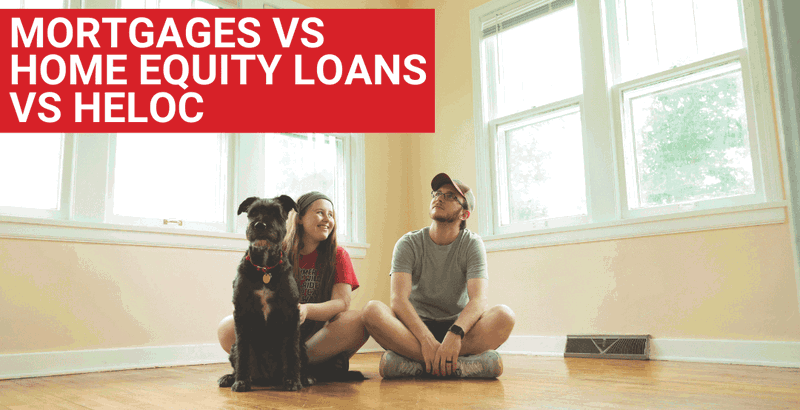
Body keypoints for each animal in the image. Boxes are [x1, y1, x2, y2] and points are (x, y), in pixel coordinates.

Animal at [217, 195, 314, 390]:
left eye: (276, 212)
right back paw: (230, 377)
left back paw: (303, 378)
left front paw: (293, 380)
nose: (260, 225)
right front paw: (241, 381)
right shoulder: (241, 313)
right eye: (253, 212)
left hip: (302, 346)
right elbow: (243, 352)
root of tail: (268, 378)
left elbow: (291, 352)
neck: (264, 268)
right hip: (233, 348)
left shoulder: (292, 313)